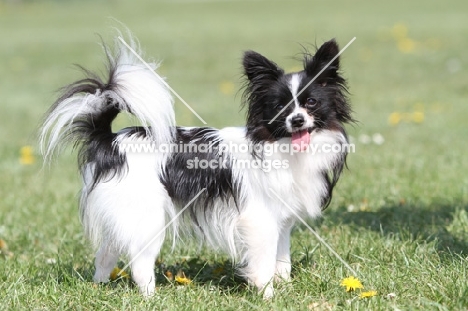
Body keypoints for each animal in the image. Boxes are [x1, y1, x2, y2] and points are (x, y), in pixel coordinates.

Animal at [41, 33, 352, 298]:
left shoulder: (282, 222)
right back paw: (151, 297)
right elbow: (263, 264)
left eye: (311, 103)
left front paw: (285, 289)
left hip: (124, 214)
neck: (283, 148)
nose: (297, 120)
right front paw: (267, 296)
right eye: (280, 109)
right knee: (140, 263)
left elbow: (282, 261)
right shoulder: (259, 221)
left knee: (106, 253)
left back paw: (99, 287)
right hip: (148, 218)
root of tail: (111, 140)